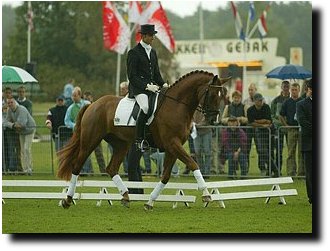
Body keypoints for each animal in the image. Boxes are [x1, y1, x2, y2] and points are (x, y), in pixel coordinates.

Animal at [57, 70, 229, 210]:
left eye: (222, 97)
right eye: (212, 95)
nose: (213, 121)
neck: (176, 105)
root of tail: (92, 104)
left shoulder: (173, 147)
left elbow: (165, 176)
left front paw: (150, 202)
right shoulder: (173, 143)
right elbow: (193, 164)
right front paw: (206, 194)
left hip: (121, 145)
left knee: (111, 168)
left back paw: (126, 196)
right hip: (90, 141)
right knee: (77, 166)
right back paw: (68, 199)